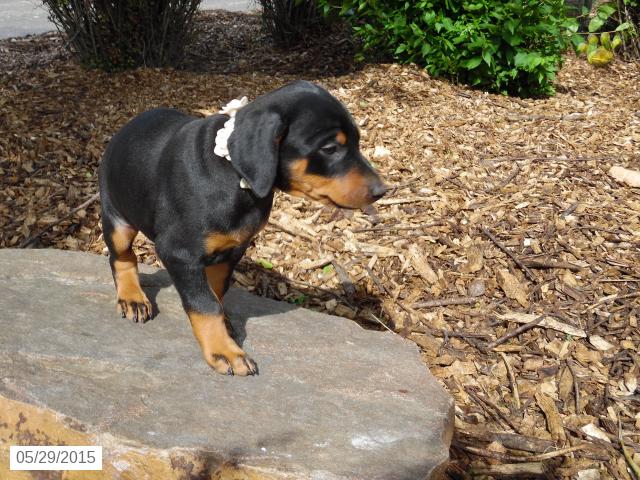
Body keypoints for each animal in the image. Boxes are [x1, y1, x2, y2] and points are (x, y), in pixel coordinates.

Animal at [98, 81, 388, 376]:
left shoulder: (234, 248)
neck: (235, 176)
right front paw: (224, 351)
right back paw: (132, 297)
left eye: (357, 141)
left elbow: (216, 290)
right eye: (330, 148)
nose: (382, 191)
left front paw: (224, 328)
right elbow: (205, 304)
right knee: (122, 256)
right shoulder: (179, 252)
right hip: (117, 218)